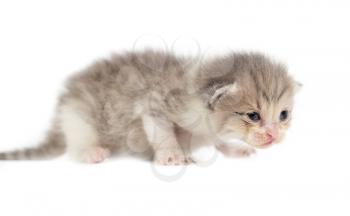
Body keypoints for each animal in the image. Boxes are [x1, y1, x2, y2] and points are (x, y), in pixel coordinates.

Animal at [0, 50, 300, 165]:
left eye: (283, 115)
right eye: (253, 115)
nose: (274, 134)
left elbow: (219, 142)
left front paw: (235, 149)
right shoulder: (155, 102)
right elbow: (162, 130)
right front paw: (172, 154)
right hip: (79, 115)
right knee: (76, 144)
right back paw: (91, 152)